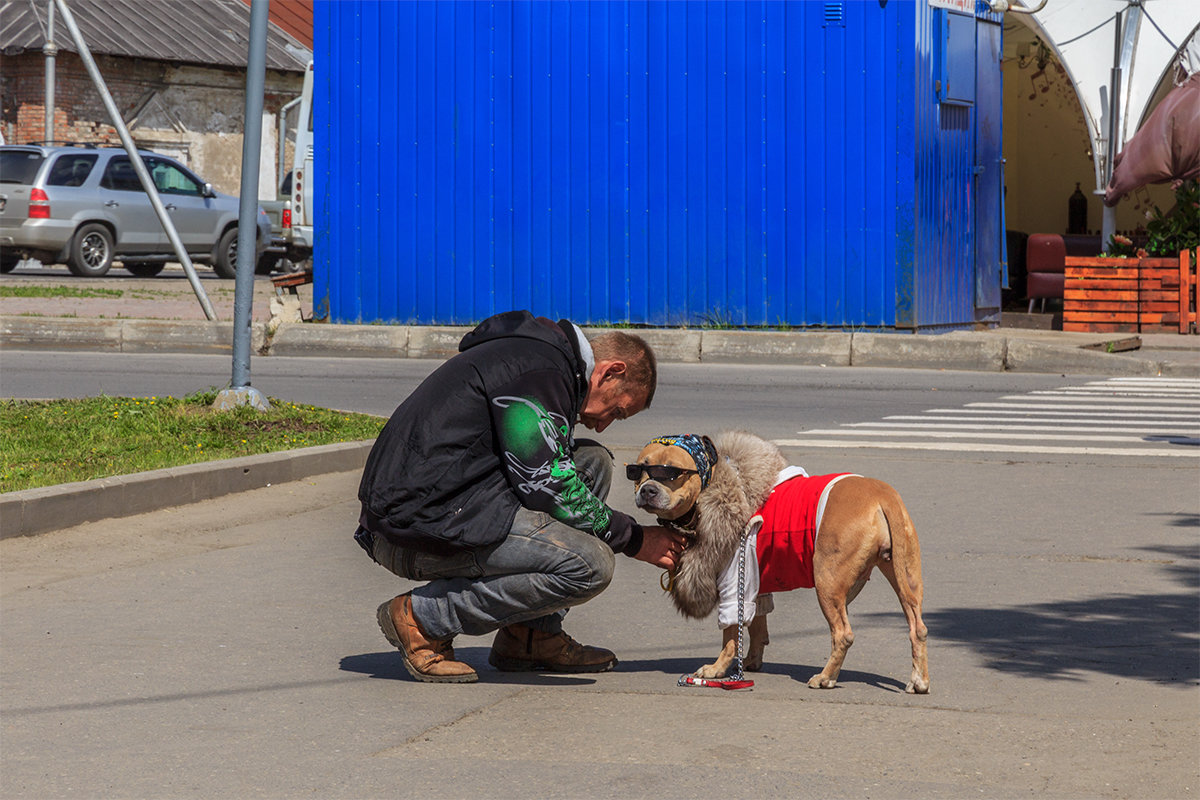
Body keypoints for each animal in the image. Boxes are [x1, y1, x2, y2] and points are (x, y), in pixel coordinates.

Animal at [628, 431, 926, 695]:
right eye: (638, 471)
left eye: (670, 473)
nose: (647, 490)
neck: (717, 483)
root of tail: (882, 494)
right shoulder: (754, 583)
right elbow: (757, 624)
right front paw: (750, 662)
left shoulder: (732, 581)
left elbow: (730, 633)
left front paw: (718, 669)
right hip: (906, 578)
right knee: (918, 627)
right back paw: (919, 681)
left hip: (827, 582)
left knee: (843, 634)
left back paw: (826, 678)